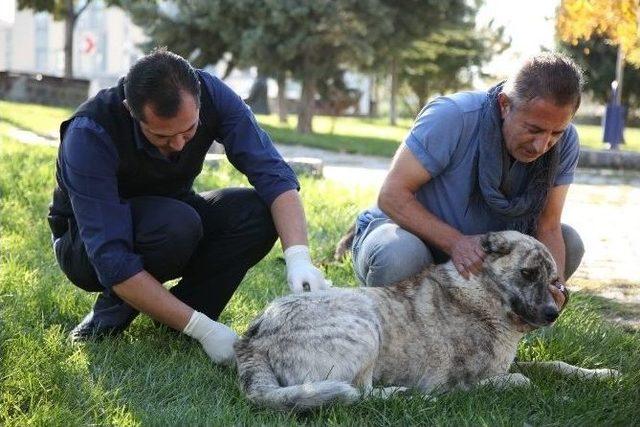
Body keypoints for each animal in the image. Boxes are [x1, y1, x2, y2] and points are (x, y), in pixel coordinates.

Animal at [236, 232, 620, 412]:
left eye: (554, 280)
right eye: (527, 273)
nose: (553, 314)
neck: (484, 294)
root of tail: (251, 338)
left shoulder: (508, 362)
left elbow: (555, 365)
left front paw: (601, 374)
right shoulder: (462, 381)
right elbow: (522, 381)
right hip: (364, 323)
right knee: (361, 393)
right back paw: (404, 395)